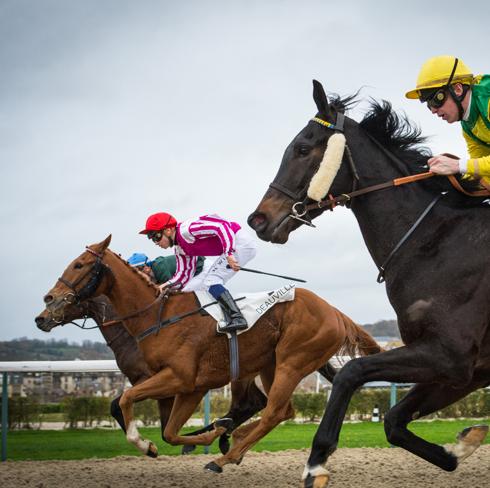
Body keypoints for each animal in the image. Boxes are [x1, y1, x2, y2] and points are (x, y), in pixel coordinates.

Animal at [35, 296, 268, 456]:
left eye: (68, 299)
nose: (41, 319)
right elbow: (123, 407)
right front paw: (151, 445)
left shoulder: (158, 381)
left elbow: (124, 406)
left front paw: (152, 446)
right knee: (249, 405)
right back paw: (222, 434)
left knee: (245, 406)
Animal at [251, 80, 488, 488]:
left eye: (302, 148)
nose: (258, 220)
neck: (433, 241)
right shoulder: (466, 371)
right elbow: (393, 422)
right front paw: (461, 446)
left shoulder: (448, 355)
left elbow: (350, 372)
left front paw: (316, 462)